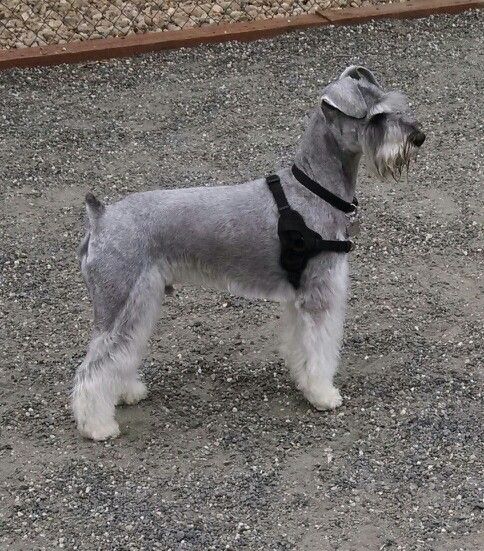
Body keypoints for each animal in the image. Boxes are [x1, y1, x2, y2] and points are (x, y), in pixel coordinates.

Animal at [71, 67, 424, 442]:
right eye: (377, 116)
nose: (419, 137)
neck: (313, 188)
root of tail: (101, 217)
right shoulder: (320, 294)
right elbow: (320, 348)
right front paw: (322, 394)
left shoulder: (299, 297)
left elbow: (301, 345)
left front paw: (304, 382)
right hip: (118, 303)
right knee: (93, 367)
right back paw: (98, 426)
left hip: (140, 303)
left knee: (122, 353)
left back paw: (127, 392)